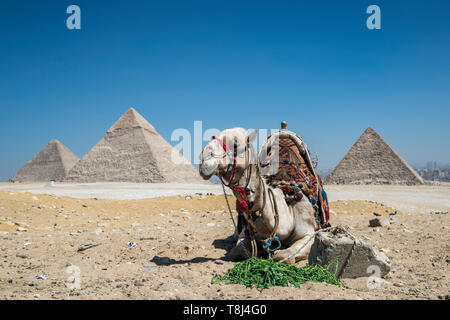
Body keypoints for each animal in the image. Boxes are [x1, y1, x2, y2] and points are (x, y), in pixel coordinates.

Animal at [199, 126, 326, 264]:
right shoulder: (248, 231)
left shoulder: (309, 232)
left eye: (235, 144)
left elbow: (283, 255)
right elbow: (239, 250)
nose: (203, 158)